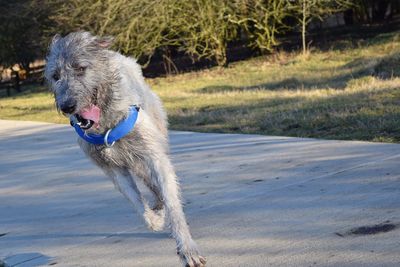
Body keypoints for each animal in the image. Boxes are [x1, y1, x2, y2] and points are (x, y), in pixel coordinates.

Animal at [45, 31, 206, 267]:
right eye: (55, 76)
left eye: (81, 68)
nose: (67, 107)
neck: (106, 124)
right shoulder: (113, 169)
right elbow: (136, 201)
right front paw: (156, 220)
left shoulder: (154, 156)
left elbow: (172, 202)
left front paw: (187, 248)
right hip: (134, 160)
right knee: (149, 185)